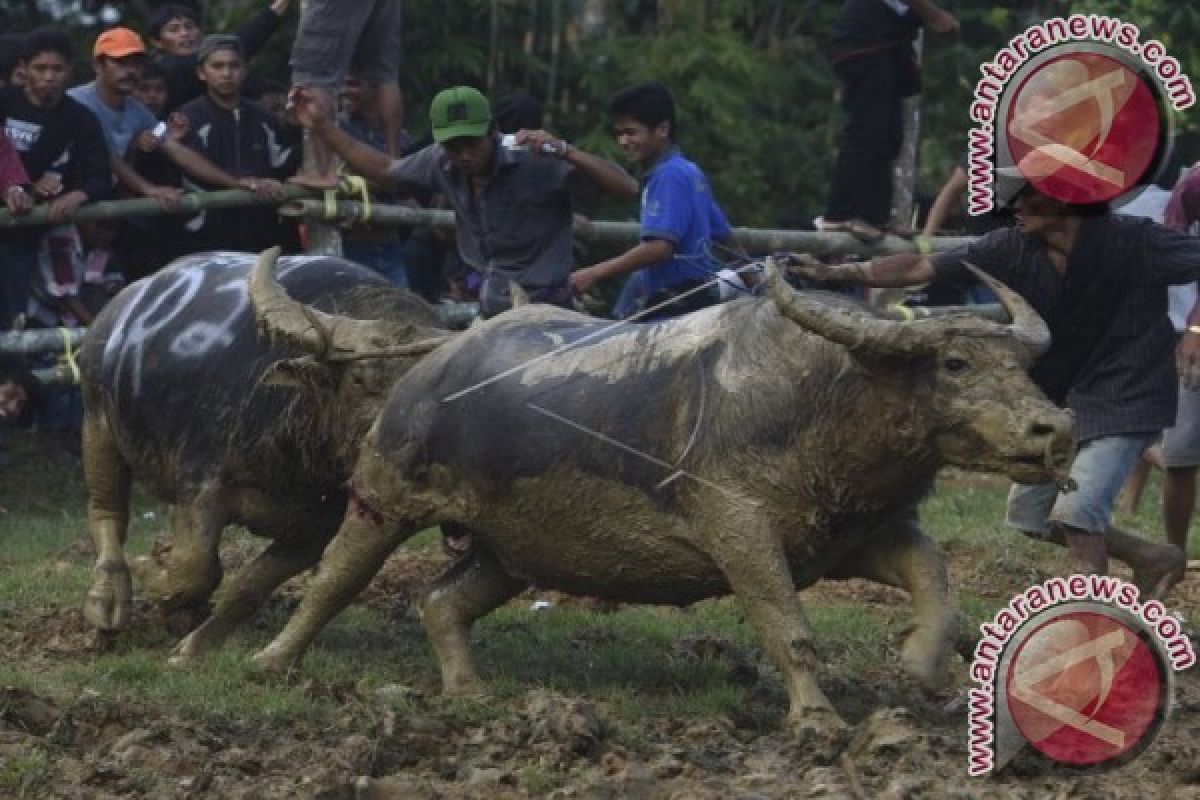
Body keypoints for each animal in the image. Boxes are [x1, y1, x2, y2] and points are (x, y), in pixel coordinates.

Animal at [78, 250, 453, 657]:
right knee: (107, 510)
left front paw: (195, 644)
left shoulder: (315, 530)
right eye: (359, 379)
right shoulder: (200, 487)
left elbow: (249, 584)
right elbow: (194, 568)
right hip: (97, 420)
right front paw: (149, 568)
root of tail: (121, 305)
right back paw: (106, 602)